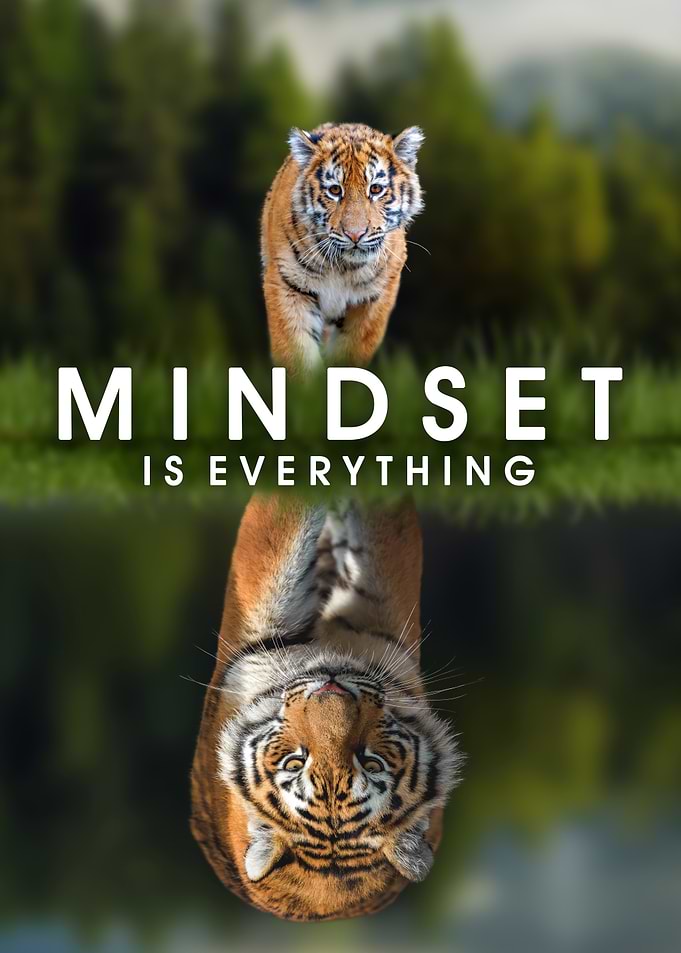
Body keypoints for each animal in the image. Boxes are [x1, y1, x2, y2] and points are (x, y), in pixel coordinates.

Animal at [260, 122, 425, 371]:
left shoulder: (374, 299)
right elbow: (298, 354)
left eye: (375, 189)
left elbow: (349, 357)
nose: (355, 234)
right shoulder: (287, 286)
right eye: (335, 190)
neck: (342, 267)